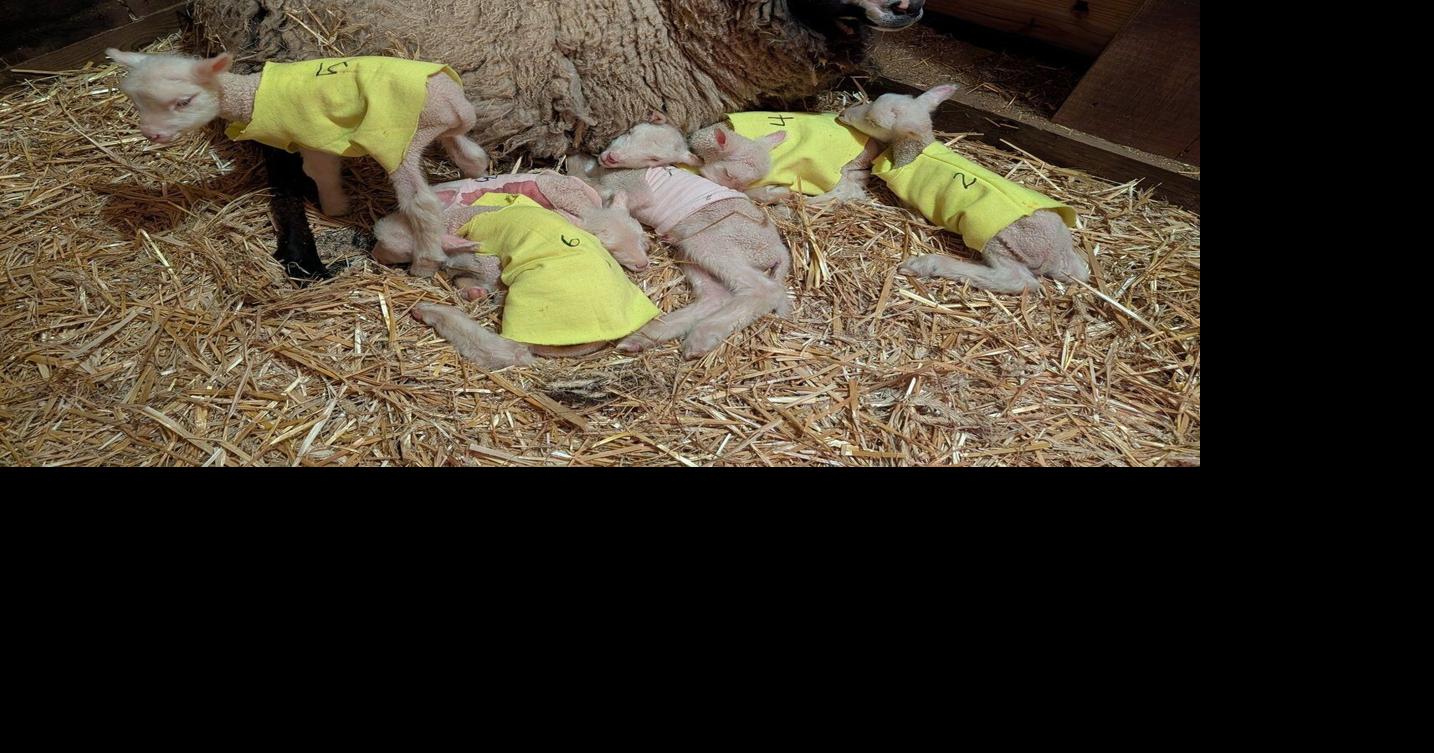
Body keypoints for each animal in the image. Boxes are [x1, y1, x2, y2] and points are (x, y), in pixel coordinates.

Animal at [104, 50, 492, 280]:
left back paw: (425, 261)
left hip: (398, 141)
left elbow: (320, 172)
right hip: (437, 129)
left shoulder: (312, 136)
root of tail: (453, 100)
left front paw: (335, 208)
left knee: (421, 203)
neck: (251, 95)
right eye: (136, 102)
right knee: (470, 155)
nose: (151, 134)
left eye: (184, 101)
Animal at [577, 117, 793, 359]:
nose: (610, 157)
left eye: (655, 159)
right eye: (630, 132)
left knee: (765, 290)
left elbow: (605, 195)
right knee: (715, 296)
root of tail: (779, 250)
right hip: (688, 249)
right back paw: (645, 336)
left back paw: (702, 336)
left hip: (715, 243)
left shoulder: (634, 189)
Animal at [838, 84, 1091, 294]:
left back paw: (927, 264)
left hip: (1001, 242)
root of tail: (1057, 253)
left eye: (872, 122)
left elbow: (912, 212)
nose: (843, 114)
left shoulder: (908, 195)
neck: (915, 152)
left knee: (1018, 281)